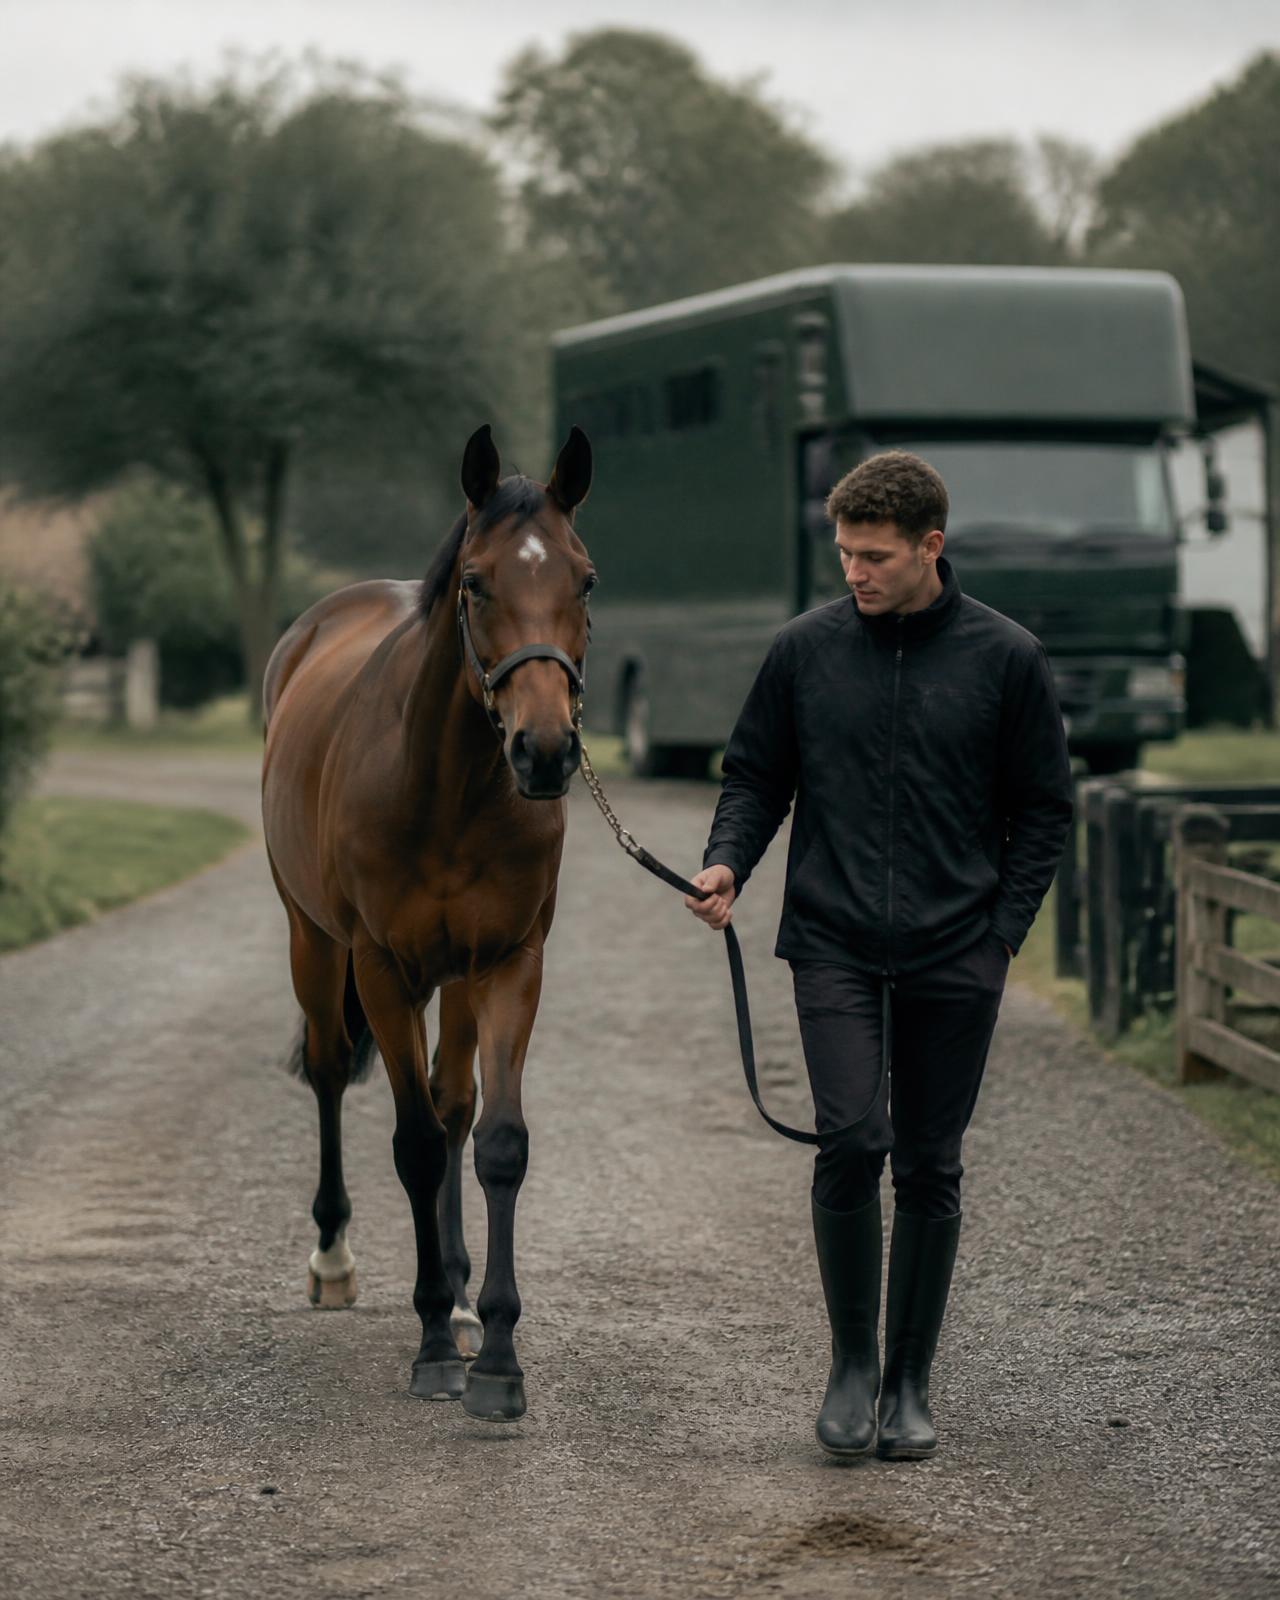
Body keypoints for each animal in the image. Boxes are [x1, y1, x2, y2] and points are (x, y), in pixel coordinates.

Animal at [261, 424, 594, 1422]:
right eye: (476, 582)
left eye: (585, 580)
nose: (546, 751)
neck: (445, 786)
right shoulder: (381, 967)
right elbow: (410, 1146)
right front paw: (433, 1347)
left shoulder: (510, 963)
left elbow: (495, 1142)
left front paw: (495, 1353)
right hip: (314, 942)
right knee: (334, 1071)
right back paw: (337, 1260)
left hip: (458, 977)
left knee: (454, 1108)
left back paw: (458, 1295)